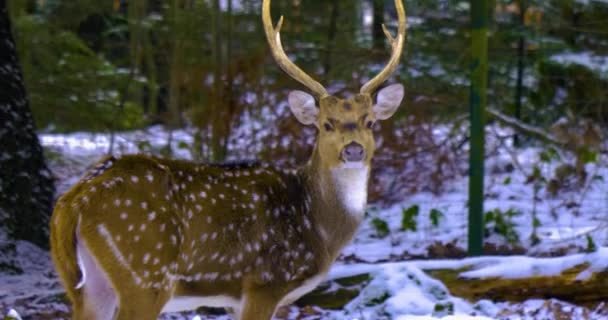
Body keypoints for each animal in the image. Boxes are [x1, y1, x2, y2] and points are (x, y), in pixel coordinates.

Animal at [50, 1, 406, 318]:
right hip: (146, 273)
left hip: (85, 284)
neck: (318, 226)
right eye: (325, 124)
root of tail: (75, 200)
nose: (354, 150)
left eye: (370, 122)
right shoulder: (264, 283)